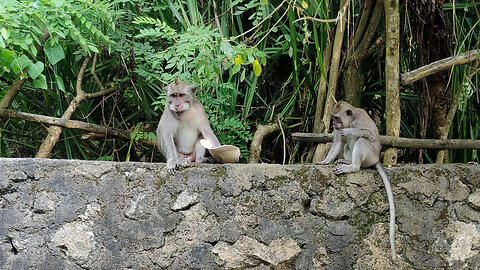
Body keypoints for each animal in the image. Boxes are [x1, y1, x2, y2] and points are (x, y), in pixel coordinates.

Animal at [318, 100, 398, 260]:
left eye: (336, 118)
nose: (334, 124)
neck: (350, 120)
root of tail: (376, 159)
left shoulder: (358, 122)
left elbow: (368, 134)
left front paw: (350, 132)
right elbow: (338, 142)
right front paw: (325, 161)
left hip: (369, 157)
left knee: (362, 141)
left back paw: (352, 167)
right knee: (348, 145)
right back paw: (346, 162)